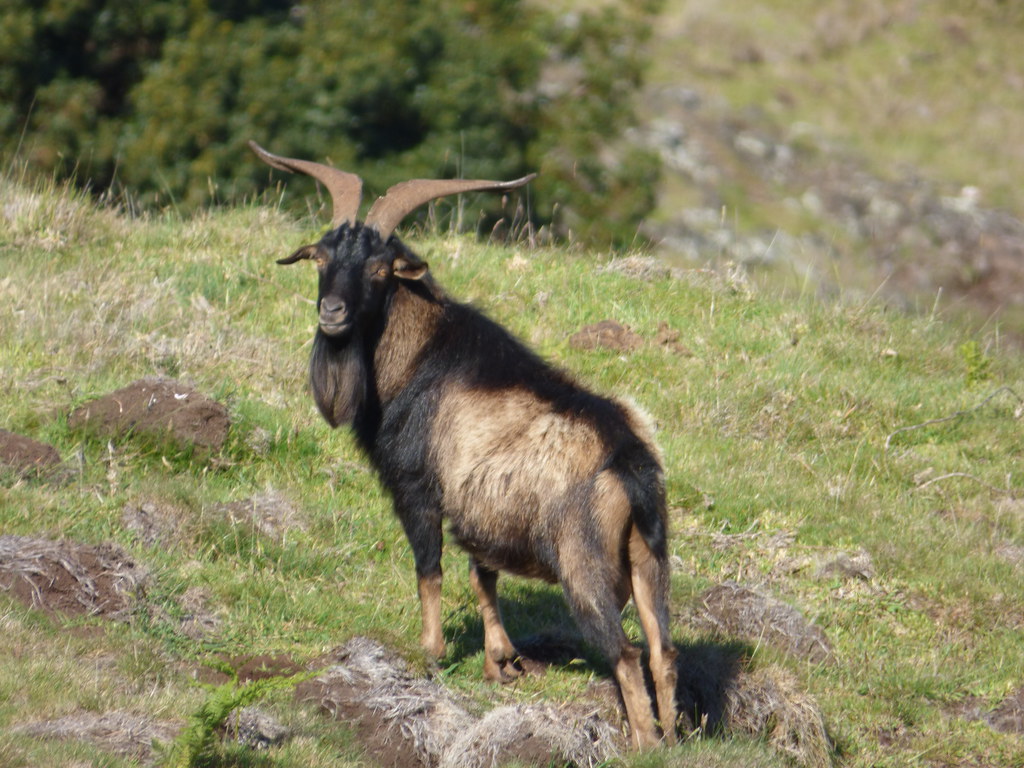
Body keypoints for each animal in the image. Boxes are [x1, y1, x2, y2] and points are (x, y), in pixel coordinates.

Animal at [250, 140, 678, 748]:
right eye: (321, 258)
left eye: (379, 268)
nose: (332, 313)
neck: (416, 355)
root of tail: (629, 463)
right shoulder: (478, 512)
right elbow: (483, 575)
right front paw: (500, 661)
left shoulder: (417, 488)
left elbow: (429, 569)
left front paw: (430, 654)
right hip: (649, 555)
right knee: (663, 650)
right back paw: (678, 736)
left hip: (584, 565)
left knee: (624, 652)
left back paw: (644, 742)